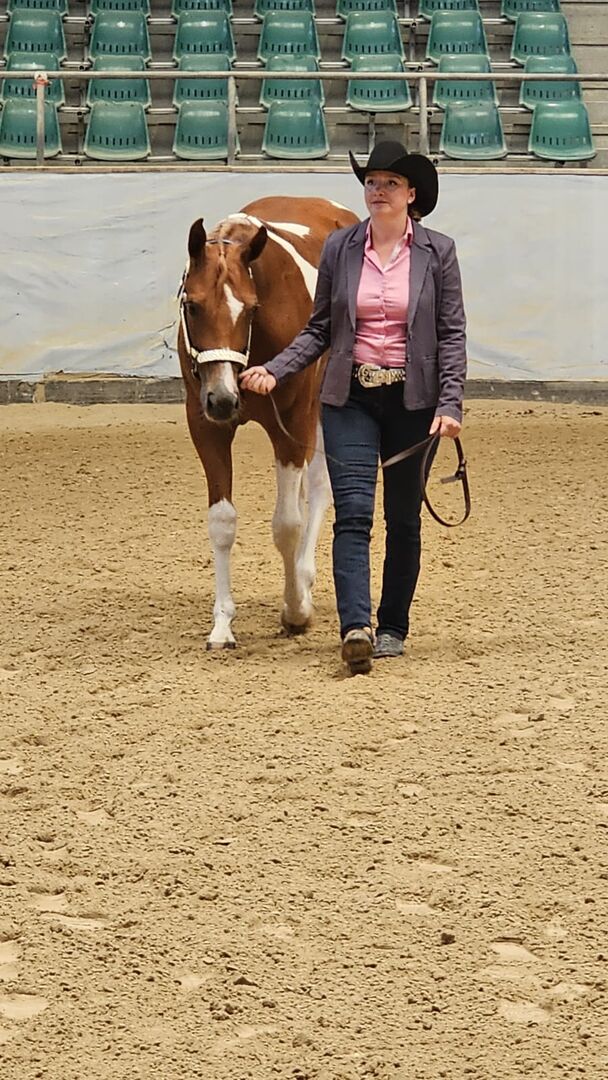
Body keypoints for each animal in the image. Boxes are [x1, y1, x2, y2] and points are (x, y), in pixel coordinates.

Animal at [178, 196, 359, 650]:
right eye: (192, 305)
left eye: (251, 308)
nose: (224, 399)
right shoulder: (206, 427)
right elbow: (222, 522)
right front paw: (223, 624)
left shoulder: (290, 424)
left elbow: (287, 525)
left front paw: (296, 610)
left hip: (316, 412)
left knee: (317, 490)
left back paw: (305, 580)